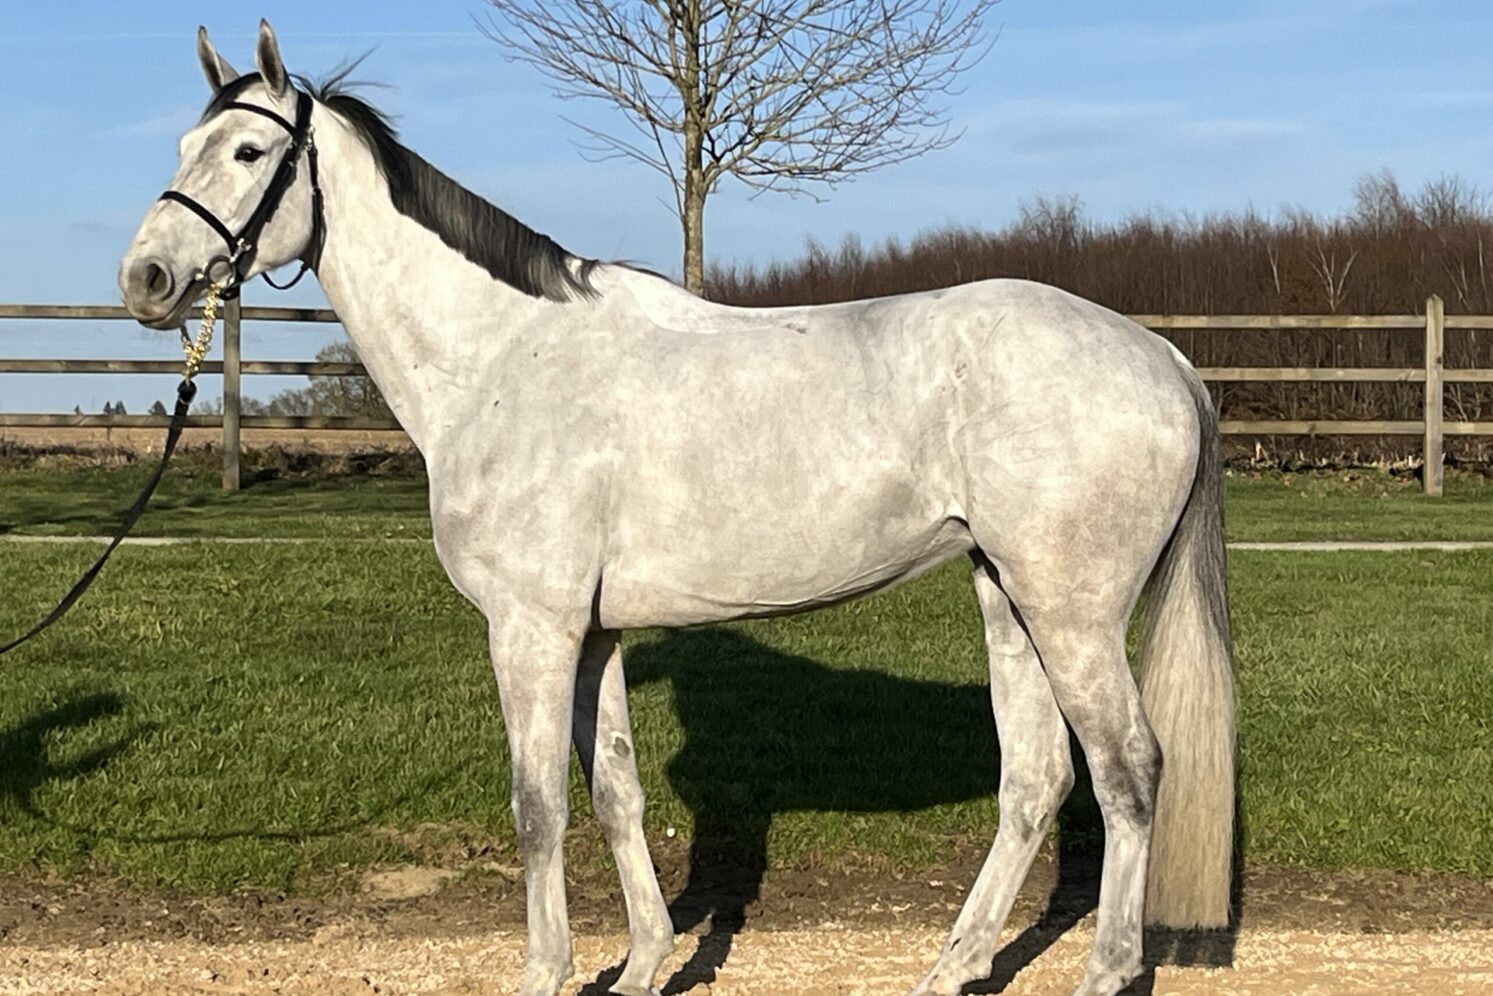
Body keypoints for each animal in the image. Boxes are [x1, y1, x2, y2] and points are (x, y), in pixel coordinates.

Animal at [119, 21, 1235, 996]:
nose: (147, 278)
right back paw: (950, 967)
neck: (505, 361)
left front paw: (548, 975)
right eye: (183, 146)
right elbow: (614, 793)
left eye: (250, 149)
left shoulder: (530, 628)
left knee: (1128, 771)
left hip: (1071, 612)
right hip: (1006, 594)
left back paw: (1102, 972)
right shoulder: (593, 633)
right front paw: (644, 967)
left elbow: (537, 806)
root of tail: (1162, 357)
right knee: (1036, 779)